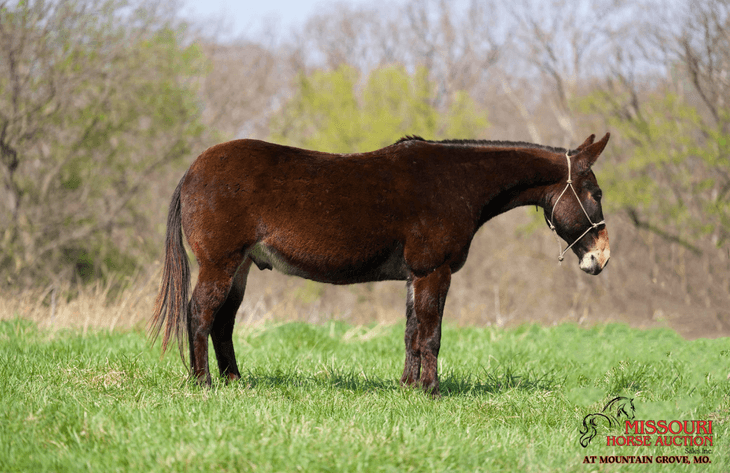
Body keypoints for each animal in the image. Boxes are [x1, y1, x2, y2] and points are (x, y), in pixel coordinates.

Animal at [151, 133, 611, 396]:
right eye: (596, 192)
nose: (601, 257)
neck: (458, 182)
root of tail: (192, 171)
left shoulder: (415, 276)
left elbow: (411, 333)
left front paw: (407, 388)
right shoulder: (434, 271)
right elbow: (431, 334)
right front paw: (432, 391)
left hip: (241, 266)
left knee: (223, 321)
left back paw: (233, 381)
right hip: (220, 263)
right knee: (200, 314)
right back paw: (203, 383)